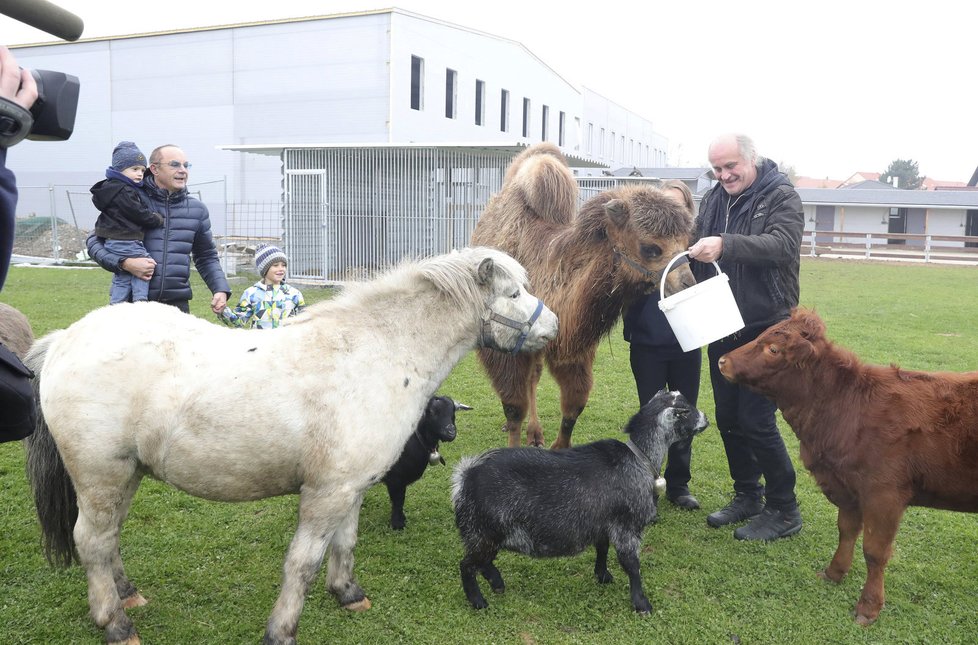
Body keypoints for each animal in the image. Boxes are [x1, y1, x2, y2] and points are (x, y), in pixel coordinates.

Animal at [382, 394, 472, 532]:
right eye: (431, 412)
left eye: (453, 412)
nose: (450, 432)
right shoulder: (395, 479)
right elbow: (398, 501)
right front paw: (398, 524)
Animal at [446, 390, 704, 612]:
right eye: (688, 410)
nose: (706, 418)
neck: (639, 458)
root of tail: (465, 476)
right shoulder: (627, 528)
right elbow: (632, 565)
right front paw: (642, 604)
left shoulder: (603, 523)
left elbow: (602, 548)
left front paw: (603, 575)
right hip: (483, 532)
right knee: (467, 565)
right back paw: (478, 601)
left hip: (488, 534)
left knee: (483, 563)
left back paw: (497, 583)